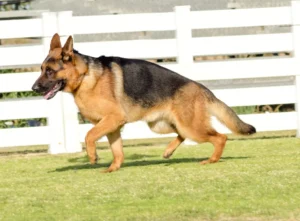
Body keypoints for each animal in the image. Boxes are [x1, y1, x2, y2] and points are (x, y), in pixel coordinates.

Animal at [31, 34, 255, 173]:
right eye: (41, 69)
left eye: (49, 71)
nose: (33, 88)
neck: (85, 76)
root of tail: (200, 87)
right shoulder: (113, 126)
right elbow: (117, 151)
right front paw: (112, 169)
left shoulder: (112, 119)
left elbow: (89, 135)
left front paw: (93, 156)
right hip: (162, 125)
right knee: (183, 135)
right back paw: (168, 151)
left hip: (191, 127)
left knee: (220, 137)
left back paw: (212, 159)